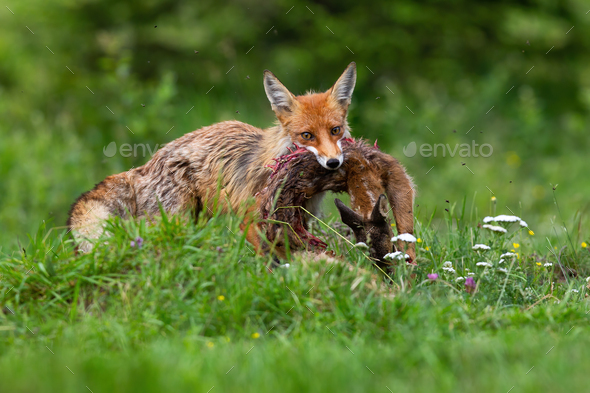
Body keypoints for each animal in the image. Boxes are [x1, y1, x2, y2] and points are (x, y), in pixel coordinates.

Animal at [68, 62, 356, 250]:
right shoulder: (250, 217)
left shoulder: (299, 219)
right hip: (178, 218)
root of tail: (145, 166)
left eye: (335, 130)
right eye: (307, 136)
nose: (333, 163)